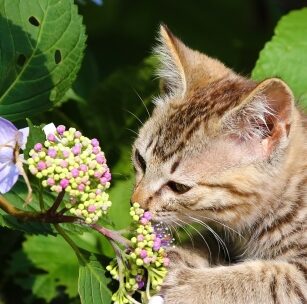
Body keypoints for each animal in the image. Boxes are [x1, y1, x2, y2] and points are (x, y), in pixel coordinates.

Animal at [131, 25, 306, 304]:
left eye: (179, 187)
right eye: (140, 159)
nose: (135, 204)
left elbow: (267, 279)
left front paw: (184, 283)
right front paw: (182, 253)